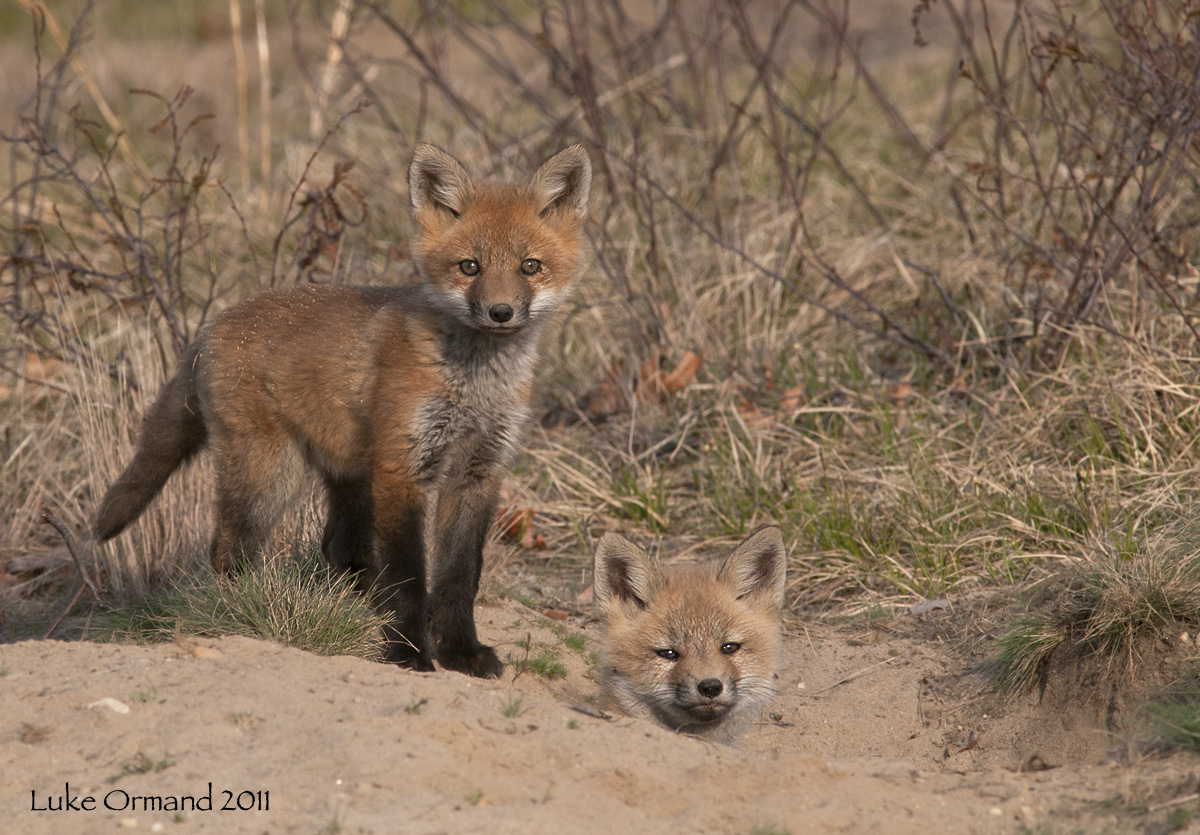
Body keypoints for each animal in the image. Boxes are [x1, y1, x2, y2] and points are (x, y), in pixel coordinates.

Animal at [93, 143, 592, 678]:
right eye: (470, 267)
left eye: (530, 266)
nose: (501, 312)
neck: (476, 387)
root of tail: (215, 323)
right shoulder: (402, 468)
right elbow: (410, 577)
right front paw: (409, 653)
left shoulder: (478, 474)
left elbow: (459, 577)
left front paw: (460, 651)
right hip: (271, 477)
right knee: (229, 550)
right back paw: (239, 612)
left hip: (349, 478)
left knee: (338, 548)